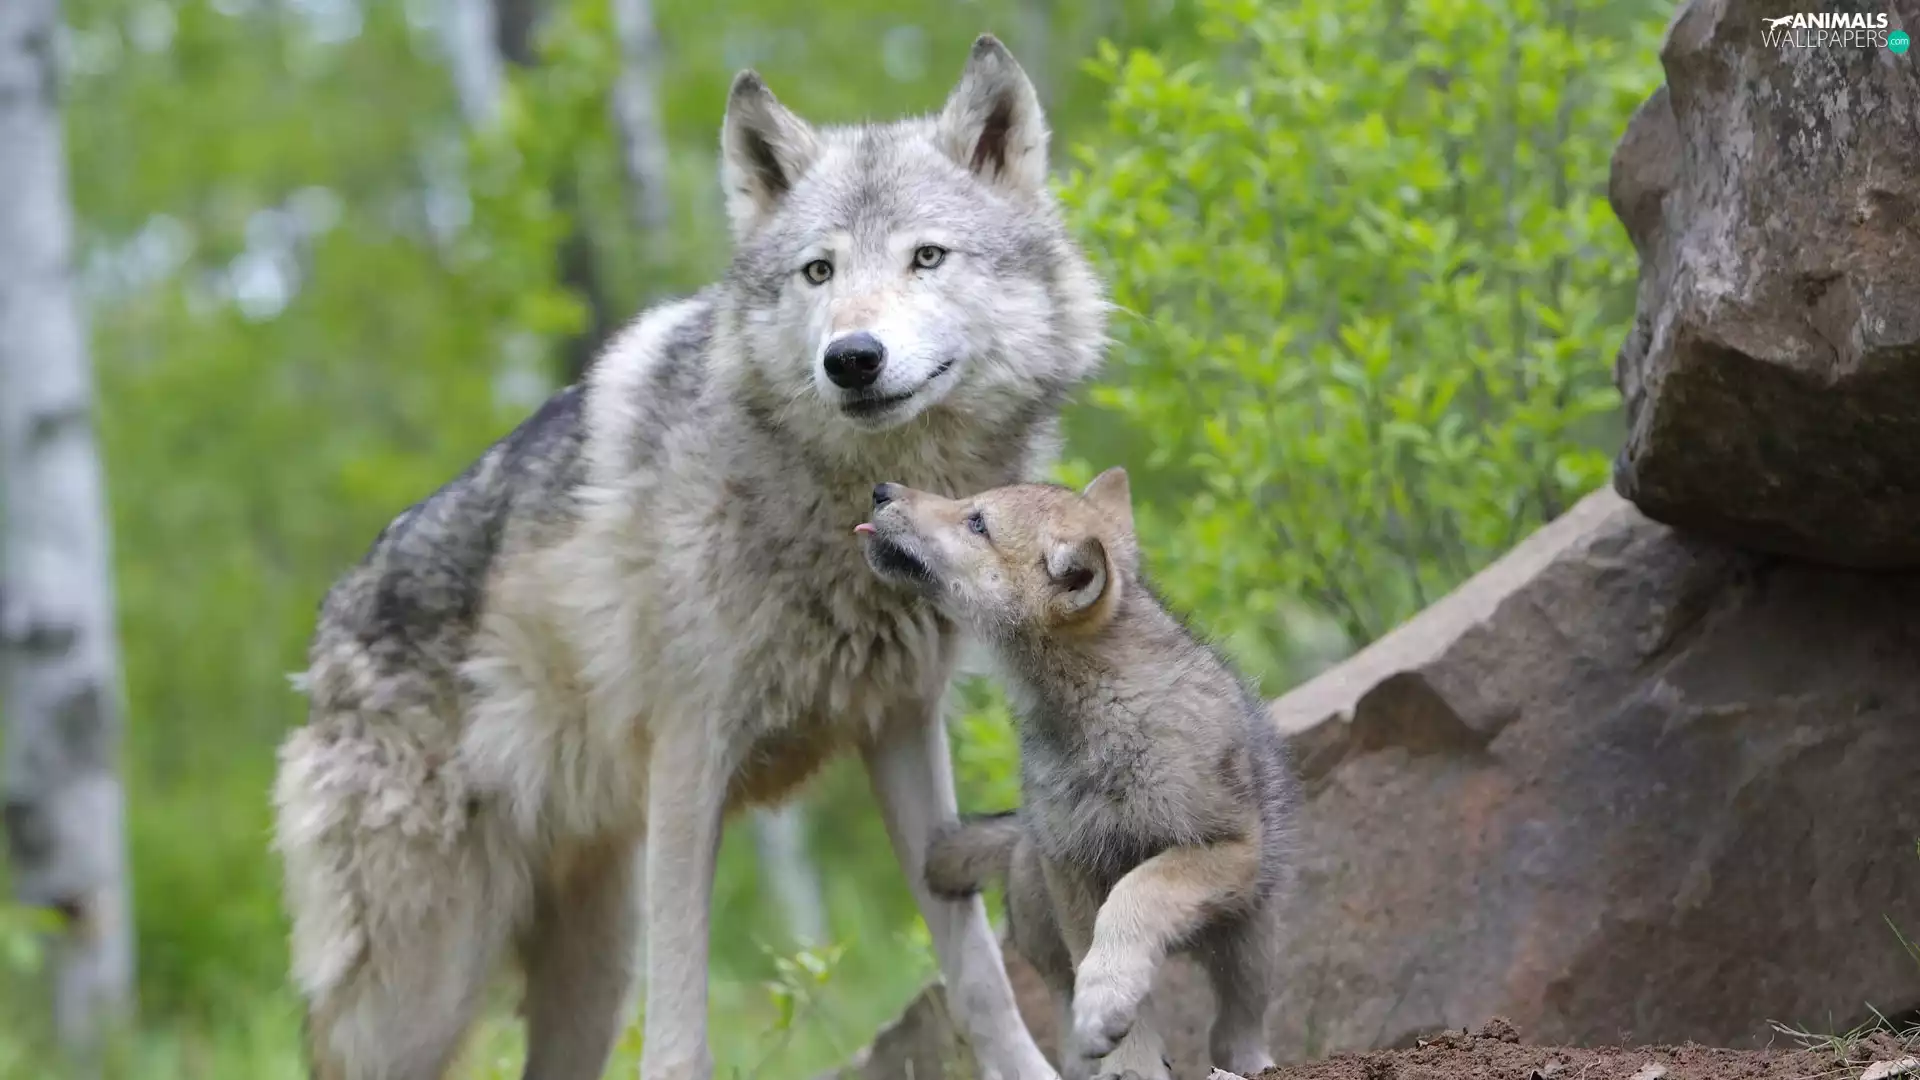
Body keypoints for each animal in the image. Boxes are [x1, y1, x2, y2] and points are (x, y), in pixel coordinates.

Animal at [270, 35, 1105, 1080]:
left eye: (927, 257)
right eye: (818, 271)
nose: (852, 358)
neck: (842, 508)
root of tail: (325, 636)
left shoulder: (903, 729)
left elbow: (979, 978)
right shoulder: (688, 761)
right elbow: (679, 1032)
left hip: (589, 965)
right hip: (423, 989)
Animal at [854, 469, 1296, 1080]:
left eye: (977, 522)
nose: (881, 489)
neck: (1100, 714)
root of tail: (1019, 835)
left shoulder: (1226, 848)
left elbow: (1138, 893)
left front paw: (1108, 1005)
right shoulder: (1073, 866)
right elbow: (1098, 954)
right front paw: (1126, 1060)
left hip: (1251, 936)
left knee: (1236, 1026)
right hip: (1045, 912)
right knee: (1065, 1011)